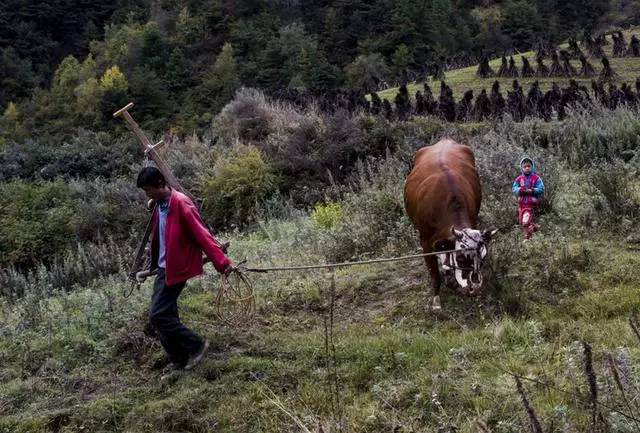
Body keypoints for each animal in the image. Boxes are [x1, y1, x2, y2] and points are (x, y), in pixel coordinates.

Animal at [404, 138, 496, 310]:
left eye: (483, 259)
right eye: (460, 258)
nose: (474, 288)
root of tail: (444, 140)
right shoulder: (425, 242)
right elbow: (434, 273)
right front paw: (436, 300)